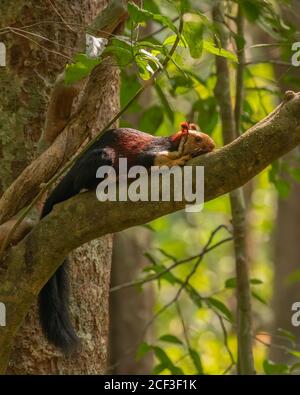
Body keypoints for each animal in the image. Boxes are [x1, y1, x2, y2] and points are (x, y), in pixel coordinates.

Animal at [39, 122, 216, 354]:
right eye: (197, 139)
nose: (213, 145)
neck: (173, 143)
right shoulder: (150, 151)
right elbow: (151, 158)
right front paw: (176, 161)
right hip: (100, 159)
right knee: (81, 182)